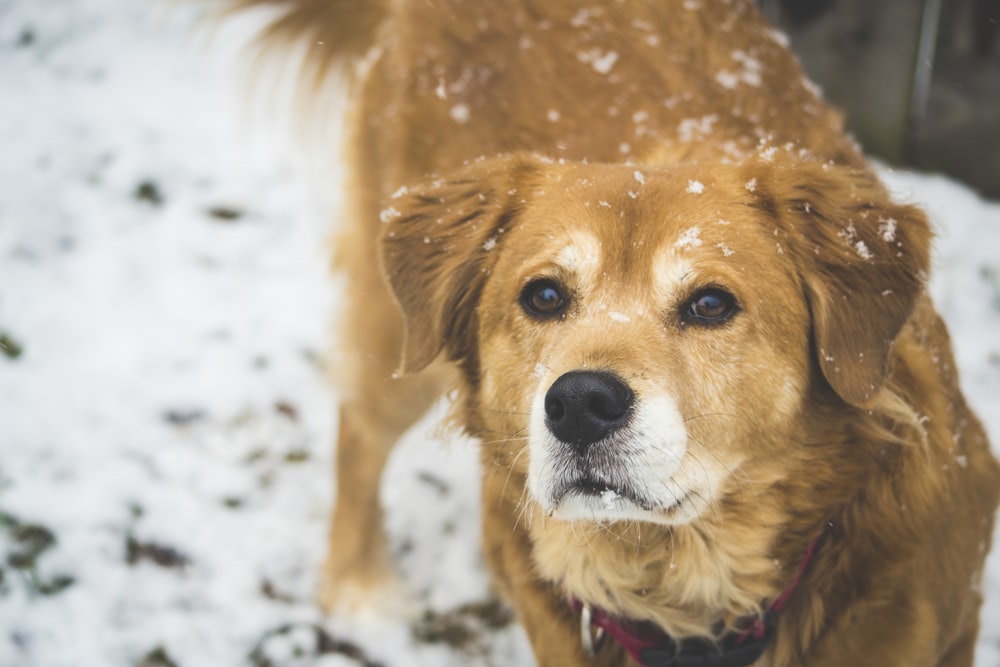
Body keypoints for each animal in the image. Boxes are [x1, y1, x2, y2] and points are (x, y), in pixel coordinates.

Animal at [232, 0, 1000, 664]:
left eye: (711, 304)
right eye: (543, 295)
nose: (579, 403)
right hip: (398, 332)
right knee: (359, 432)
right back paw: (358, 586)